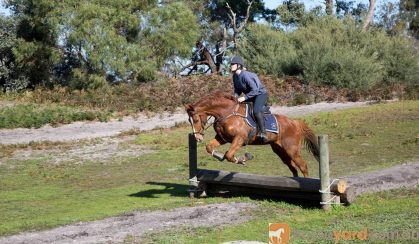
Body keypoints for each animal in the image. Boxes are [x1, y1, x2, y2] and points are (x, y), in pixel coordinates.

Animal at [185, 90, 320, 178]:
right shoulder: (222, 138)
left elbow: (229, 155)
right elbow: (210, 147)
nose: (198, 138)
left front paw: (242, 159)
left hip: (292, 149)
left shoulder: (240, 138)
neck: (226, 113)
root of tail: (294, 122)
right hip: (280, 150)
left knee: (303, 166)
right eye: (189, 121)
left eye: (196, 120)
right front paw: (219, 155)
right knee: (293, 167)